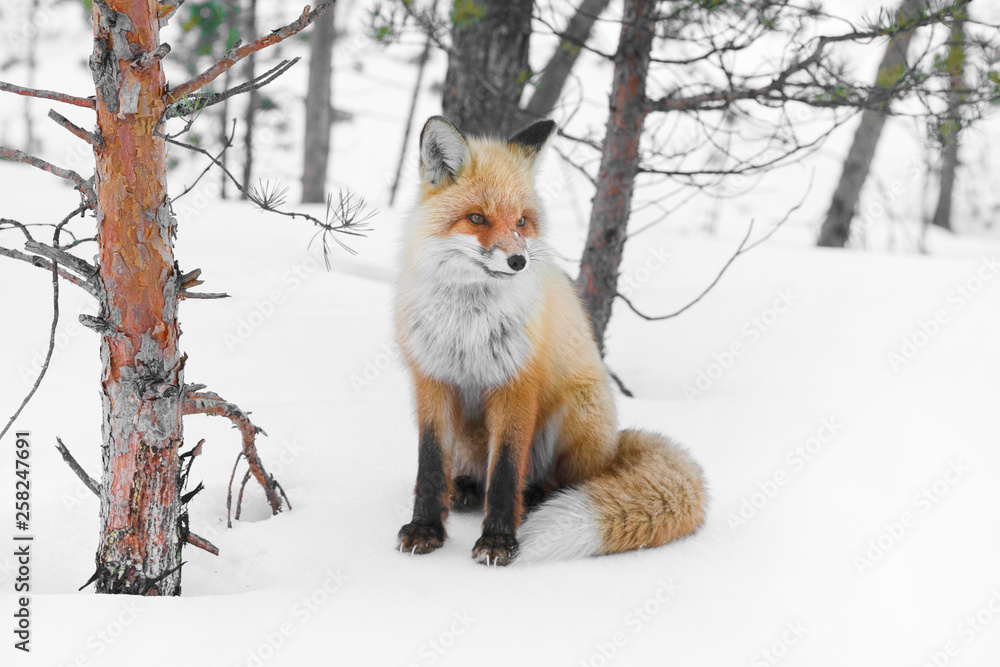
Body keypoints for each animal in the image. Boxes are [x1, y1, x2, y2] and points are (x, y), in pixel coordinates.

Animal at [394, 115, 707, 566]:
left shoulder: (517, 384)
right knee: (474, 475)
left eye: (522, 221)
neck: (468, 326)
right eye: (477, 218)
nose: (518, 261)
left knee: (563, 479)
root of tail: (617, 443)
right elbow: (430, 465)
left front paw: (498, 540)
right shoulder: (431, 380)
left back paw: (538, 497)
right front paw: (425, 528)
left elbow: (506, 471)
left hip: (577, 414)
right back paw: (466, 488)